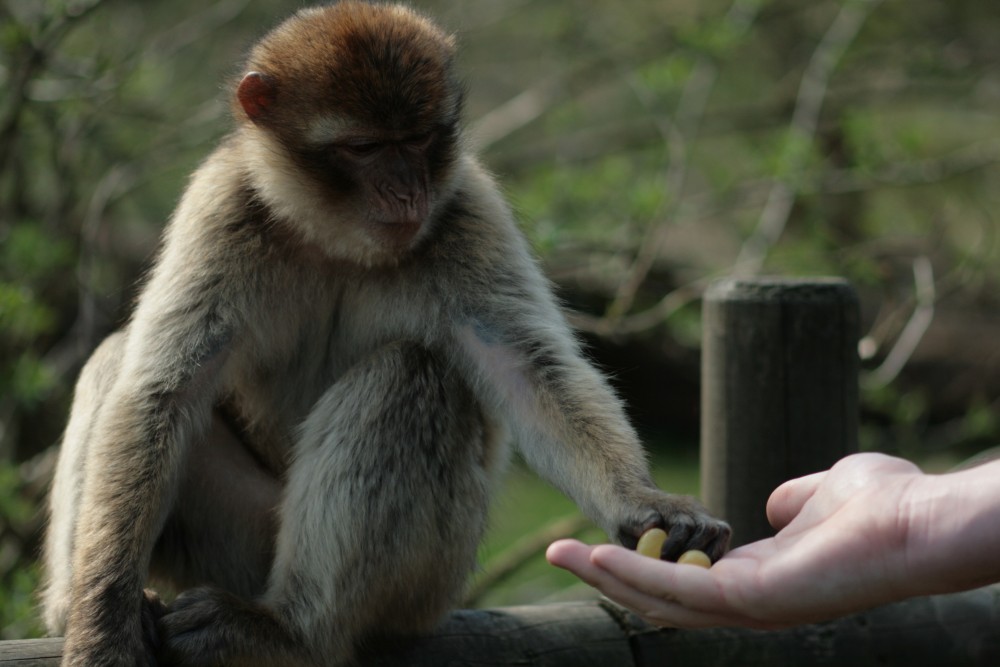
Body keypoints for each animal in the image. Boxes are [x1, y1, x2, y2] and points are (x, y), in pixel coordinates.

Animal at [41, 2, 728, 664]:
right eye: (366, 147)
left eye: (420, 139)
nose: (408, 191)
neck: (333, 239)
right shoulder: (223, 205)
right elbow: (162, 394)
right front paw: (102, 624)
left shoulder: (467, 208)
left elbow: (529, 371)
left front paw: (643, 501)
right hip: (238, 540)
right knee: (119, 366)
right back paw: (74, 608)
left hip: (432, 578)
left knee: (410, 374)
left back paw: (293, 632)